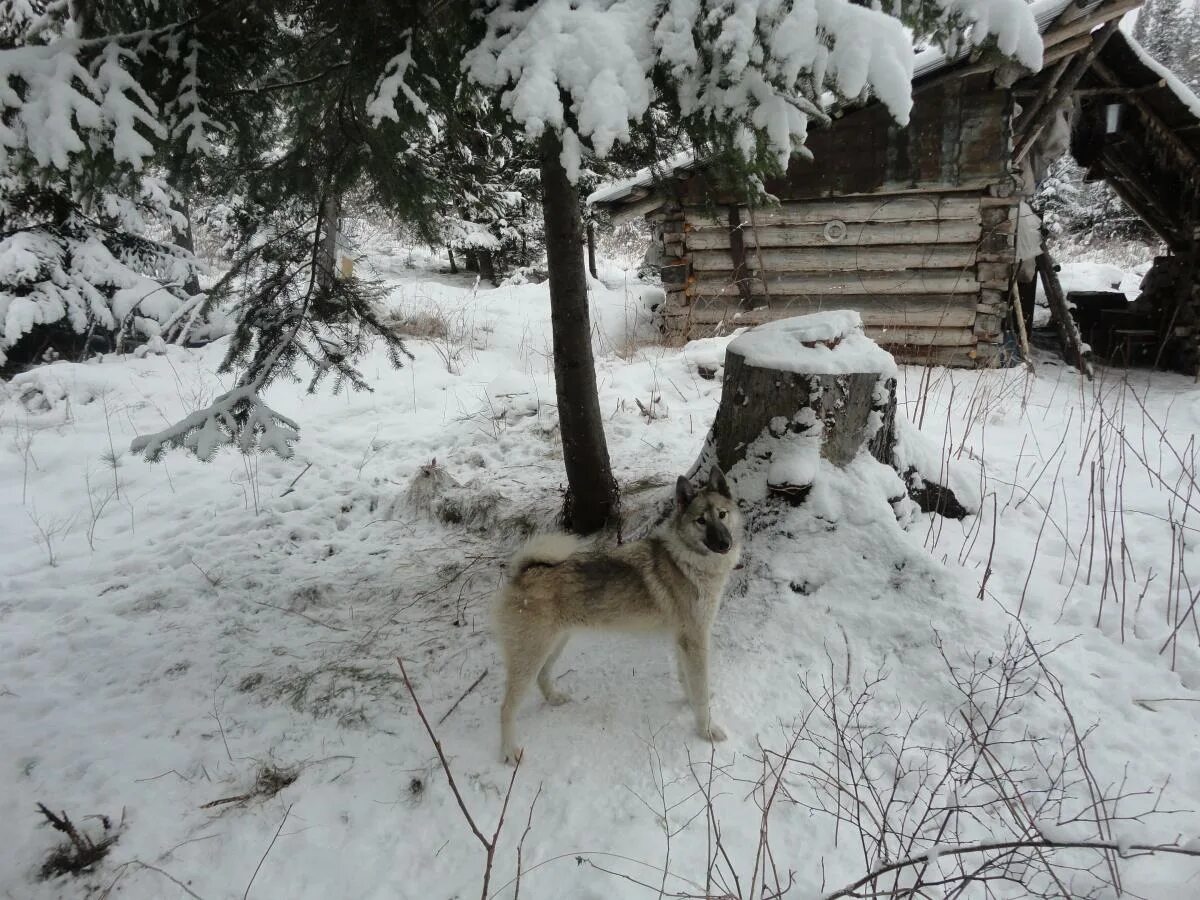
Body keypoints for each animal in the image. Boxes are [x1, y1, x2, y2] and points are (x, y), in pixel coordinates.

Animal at [489, 468, 739, 763]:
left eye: (722, 514)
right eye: (701, 520)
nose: (724, 543)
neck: (687, 561)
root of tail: (524, 572)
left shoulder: (684, 640)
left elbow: (687, 680)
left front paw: (689, 703)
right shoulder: (695, 641)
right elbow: (700, 693)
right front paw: (706, 730)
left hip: (554, 644)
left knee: (542, 676)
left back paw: (554, 699)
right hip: (530, 655)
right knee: (506, 708)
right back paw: (508, 751)